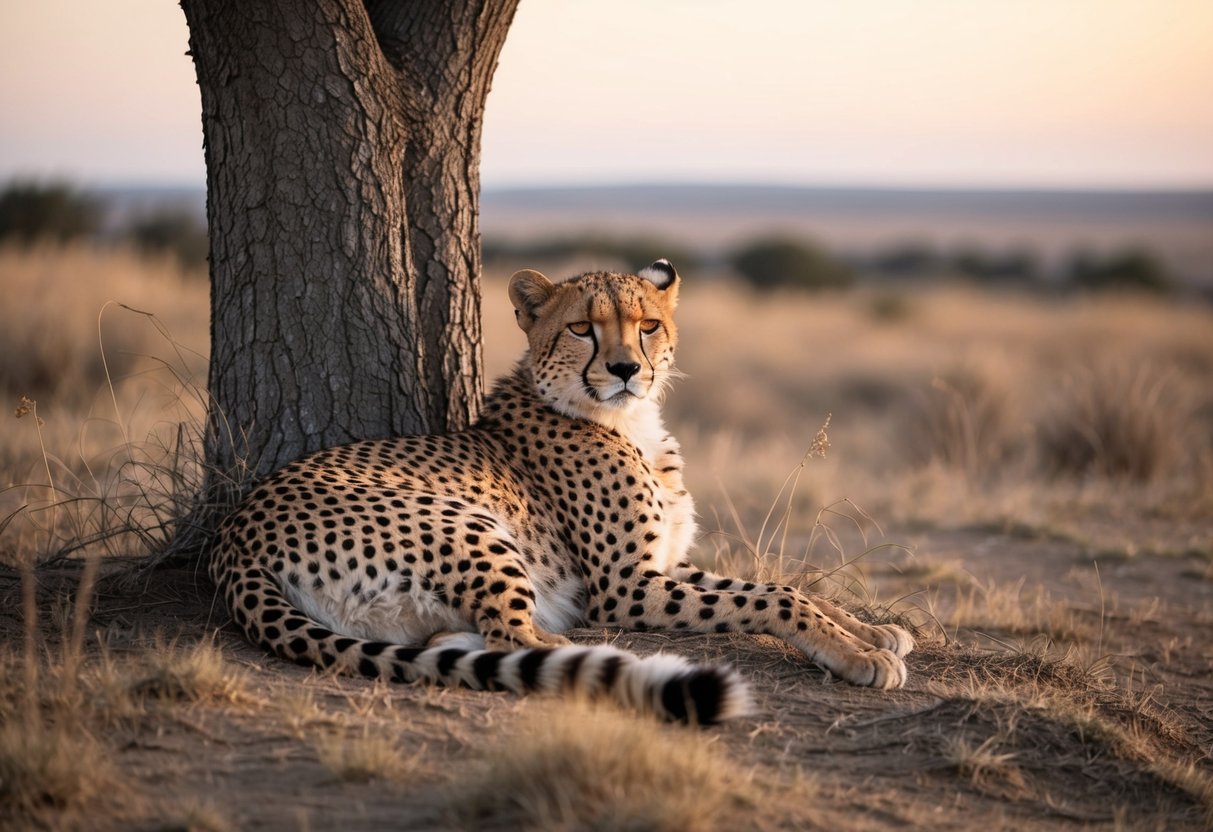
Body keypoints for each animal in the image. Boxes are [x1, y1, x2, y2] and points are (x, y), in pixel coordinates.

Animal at [211, 259, 913, 723]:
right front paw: (859, 656)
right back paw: (620, 664)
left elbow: (790, 587)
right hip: (468, 525)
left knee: (456, 642)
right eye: (582, 328)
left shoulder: (664, 565)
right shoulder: (627, 587)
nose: (626, 369)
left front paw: (874, 634)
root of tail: (237, 534)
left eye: (648, 325)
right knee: (518, 637)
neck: (629, 421)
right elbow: (772, 597)